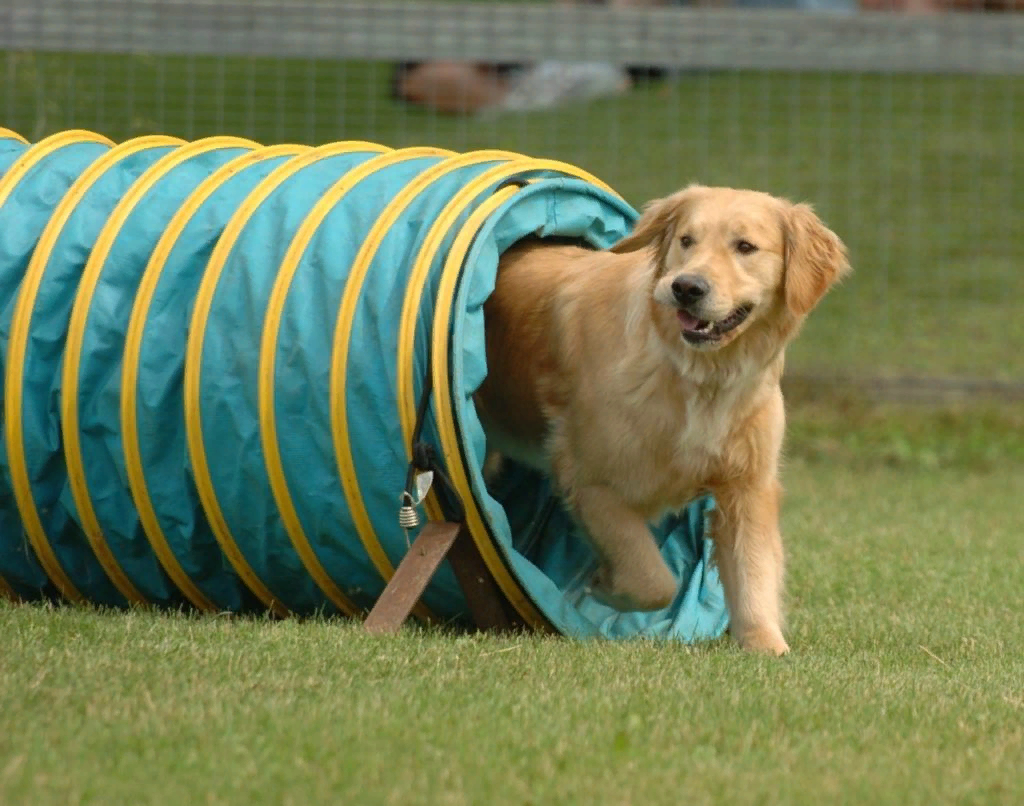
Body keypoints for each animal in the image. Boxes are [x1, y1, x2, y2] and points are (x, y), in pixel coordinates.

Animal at [475, 184, 851, 655]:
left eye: (745, 247)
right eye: (686, 240)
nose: (686, 287)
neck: (699, 378)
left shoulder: (747, 486)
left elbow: (754, 571)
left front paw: (767, 646)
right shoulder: (592, 482)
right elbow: (655, 581)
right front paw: (604, 586)